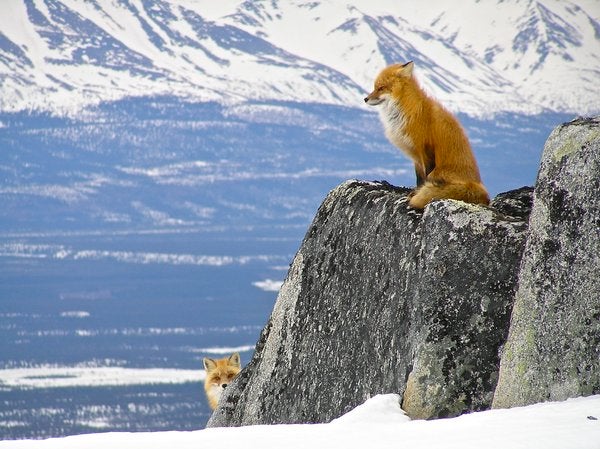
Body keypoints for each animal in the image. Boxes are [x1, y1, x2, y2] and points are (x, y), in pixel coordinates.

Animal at [364, 61, 490, 208]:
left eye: (381, 88)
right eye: (375, 87)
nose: (365, 99)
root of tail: (482, 192)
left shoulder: (426, 149)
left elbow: (425, 178)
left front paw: (416, 194)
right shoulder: (416, 156)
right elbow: (419, 179)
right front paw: (416, 191)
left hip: (440, 172)